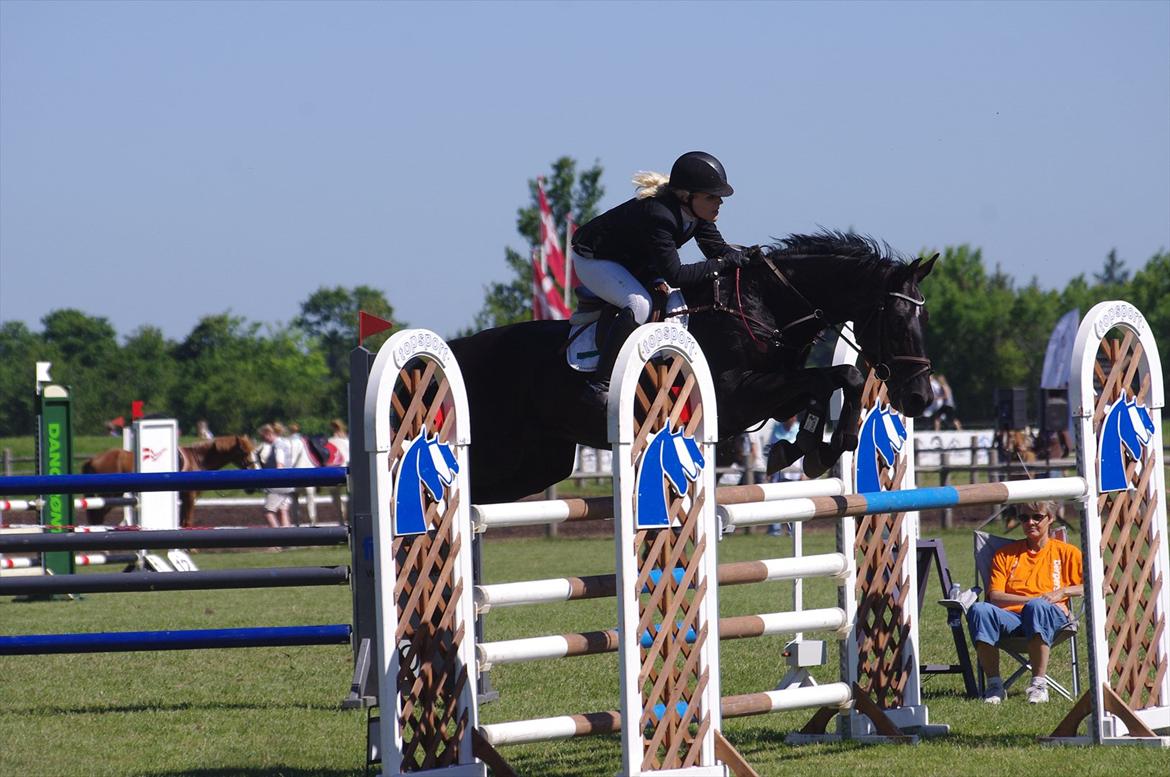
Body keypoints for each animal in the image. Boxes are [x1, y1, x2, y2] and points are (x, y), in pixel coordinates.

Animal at [81, 432, 259, 524]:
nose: (256, 471)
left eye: (254, 451)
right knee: (97, 516)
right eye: (244, 452)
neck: (197, 459)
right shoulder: (189, 496)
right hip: (109, 496)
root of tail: (93, 459)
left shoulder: (183, 498)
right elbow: (187, 520)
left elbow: (182, 521)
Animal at [446, 230, 931, 503]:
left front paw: (806, 449)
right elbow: (843, 376)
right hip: (503, 452)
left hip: (538, 463)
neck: (763, 304)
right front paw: (826, 445)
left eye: (921, 320)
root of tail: (461, 349)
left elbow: (826, 385)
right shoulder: (735, 396)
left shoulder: (771, 394)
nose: (919, 398)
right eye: (897, 322)